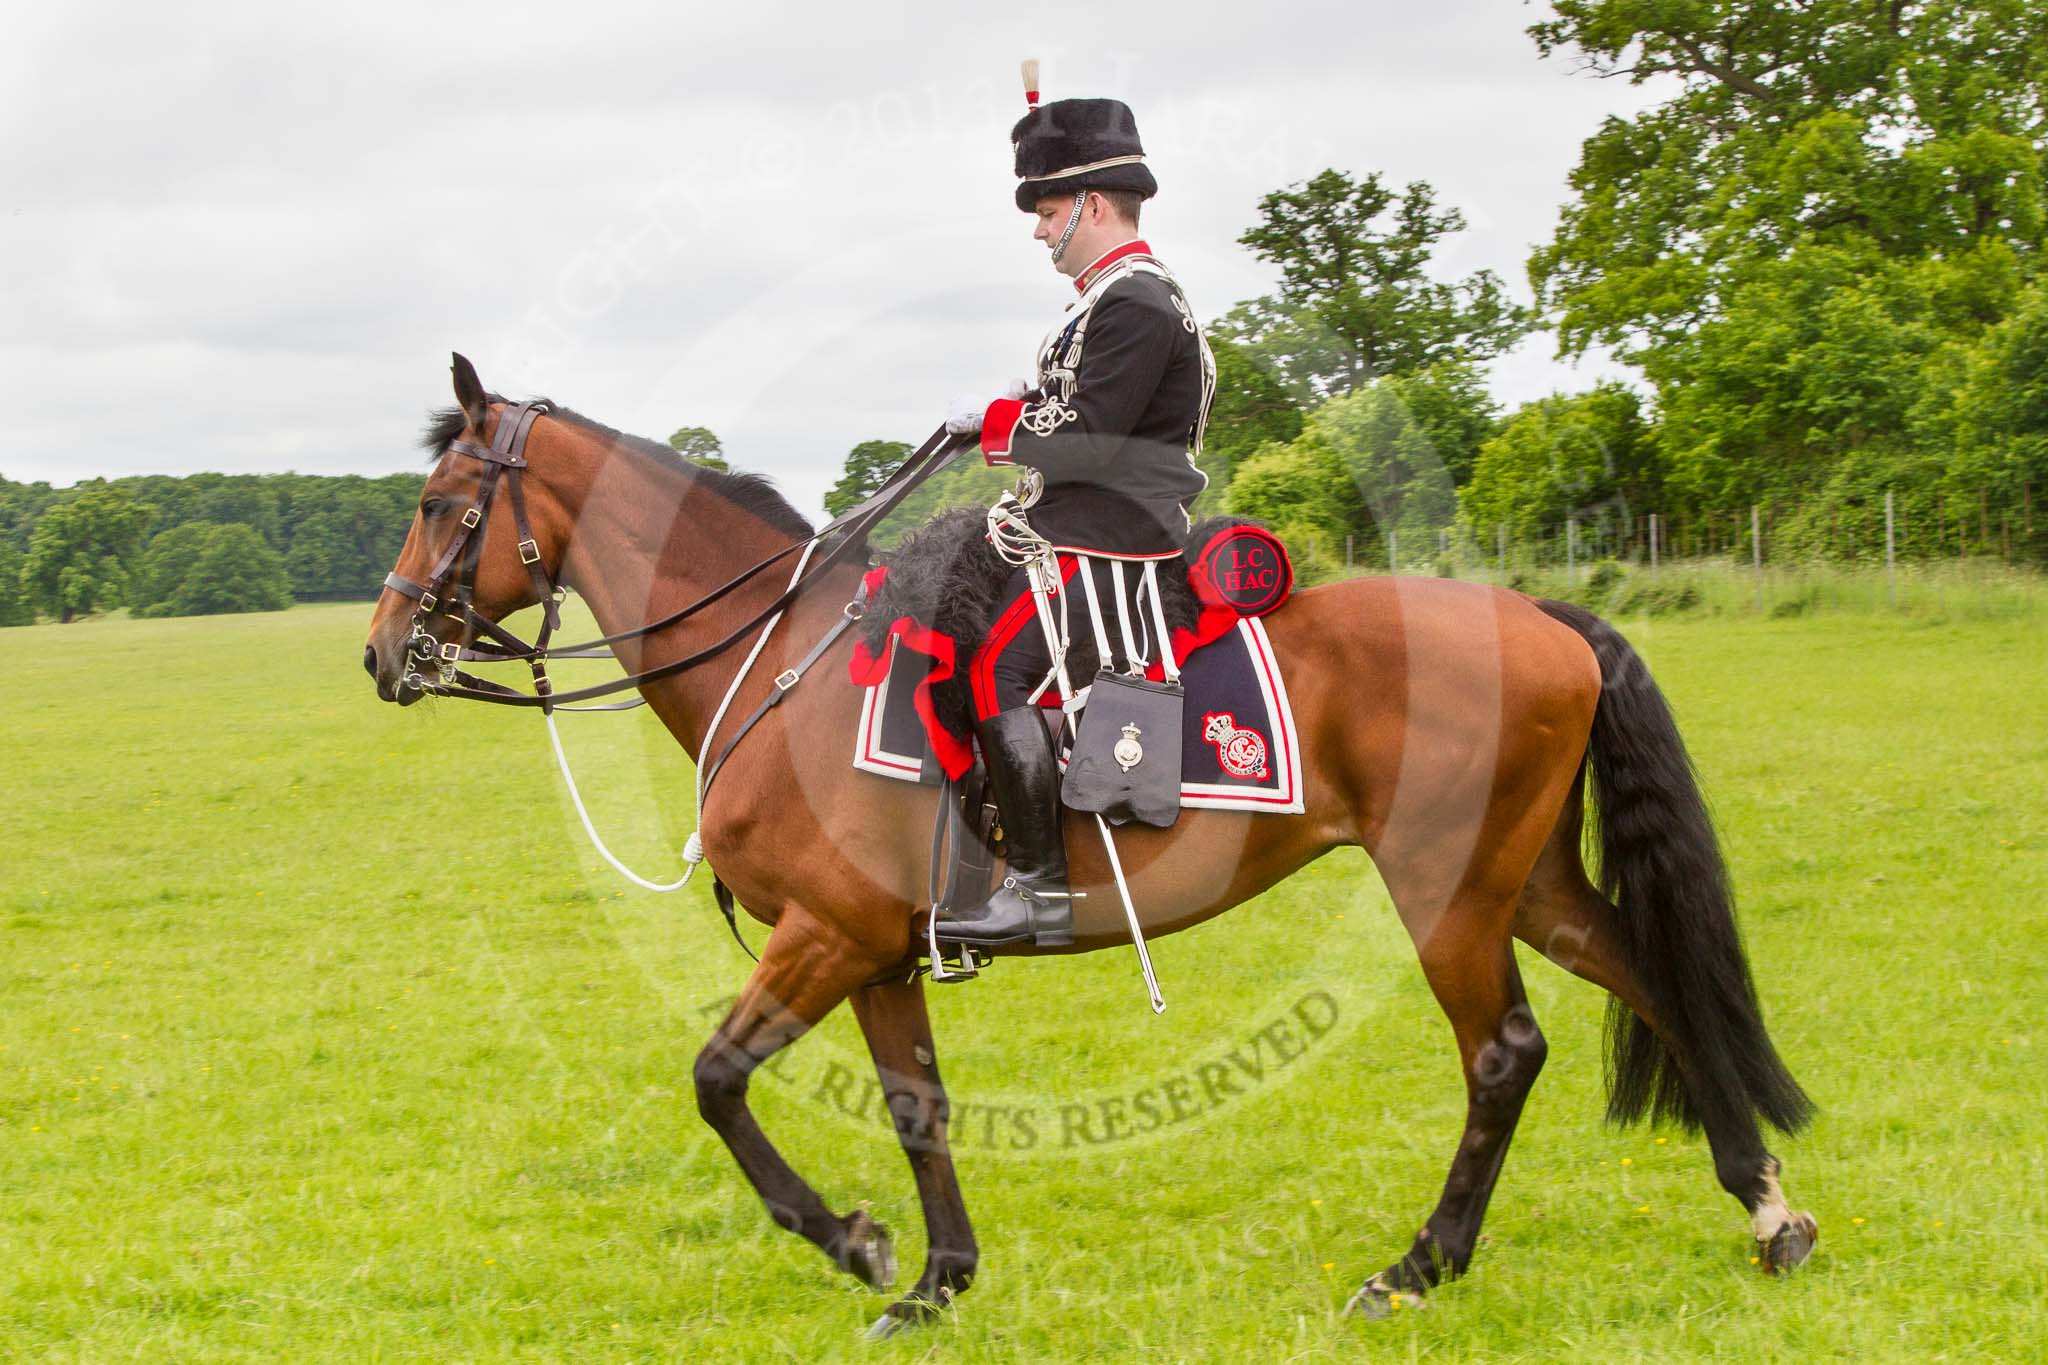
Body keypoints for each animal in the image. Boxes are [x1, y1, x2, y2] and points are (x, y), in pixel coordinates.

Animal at [360, 358, 1818, 1342]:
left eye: (438, 502)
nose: (382, 654)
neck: (782, 663)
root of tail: (1544, 617)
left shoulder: (823, 935)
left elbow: (718, 1083)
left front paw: (854, 1245)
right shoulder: (877, 953)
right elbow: (916, 1108)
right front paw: (936, 1282)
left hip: (1447, 887)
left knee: (1504, 1054)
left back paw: (1418, 1265)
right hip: (1528, 881)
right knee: (1653, 978)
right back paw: (1765, 1209)